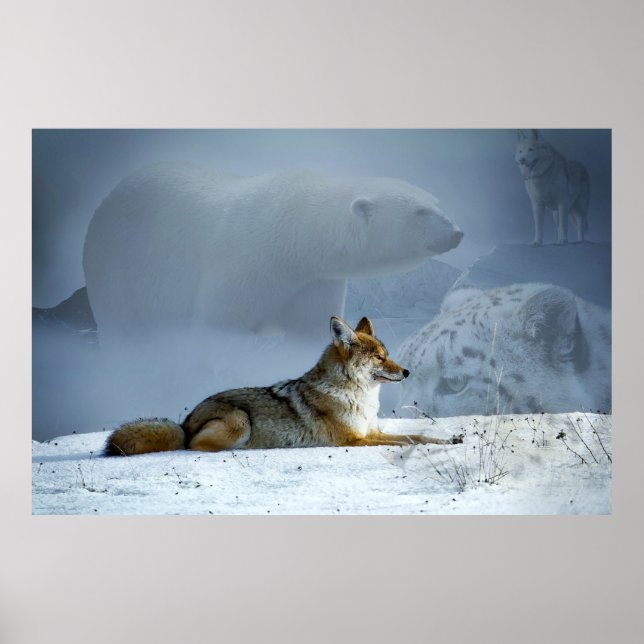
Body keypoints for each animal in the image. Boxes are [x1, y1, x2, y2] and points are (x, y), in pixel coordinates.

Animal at [105, 316, 463, 455]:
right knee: (193, 446)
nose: (407, 371)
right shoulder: (355, 441)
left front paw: (451, 439)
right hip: (240, 421)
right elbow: (410, 441)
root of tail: (185, 421)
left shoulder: (372, 432)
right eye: (379, 357)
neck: (358, 398)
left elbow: (418, 435)